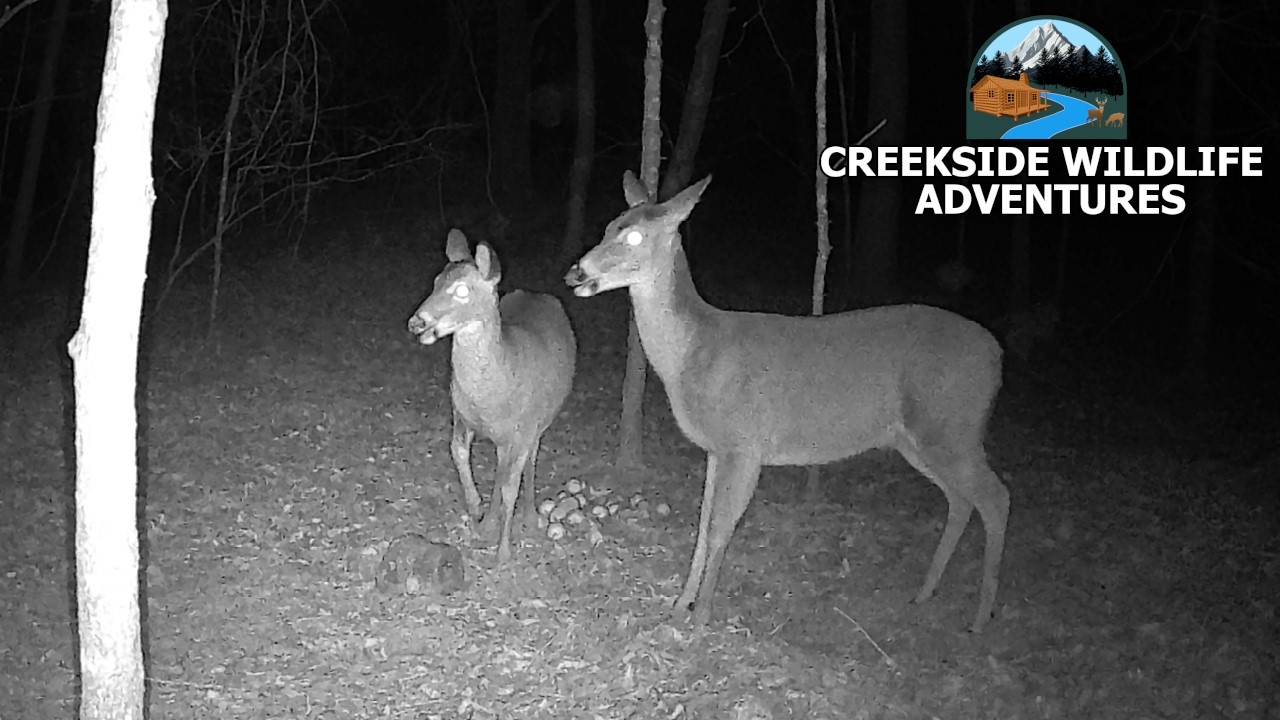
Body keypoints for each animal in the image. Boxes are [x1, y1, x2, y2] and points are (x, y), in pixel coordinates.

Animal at [409, 230, 577, 563]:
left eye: (462, 290)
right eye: (436, 282)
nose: (417, 322)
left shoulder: (523, 428)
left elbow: (512, 484)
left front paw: (503, 552)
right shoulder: (461, 414)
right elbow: (458, 452)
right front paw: (477, 509)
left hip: (541, 420)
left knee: (530, 461)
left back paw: (528, 516)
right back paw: (490, 520)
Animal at [565, 172, 1010, 632]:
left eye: (635, 236)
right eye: (609, 226)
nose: (576, 272)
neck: (697, 355)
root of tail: (997, 354)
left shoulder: (745, 443)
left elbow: (721, 527)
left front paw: (702, 614)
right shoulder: (716, 449)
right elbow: (703, 525)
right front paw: (680, 601)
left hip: (952, 425)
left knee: (997, 498)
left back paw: (980, 619)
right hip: (916, 437)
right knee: (962, 499)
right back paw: (924, 595)